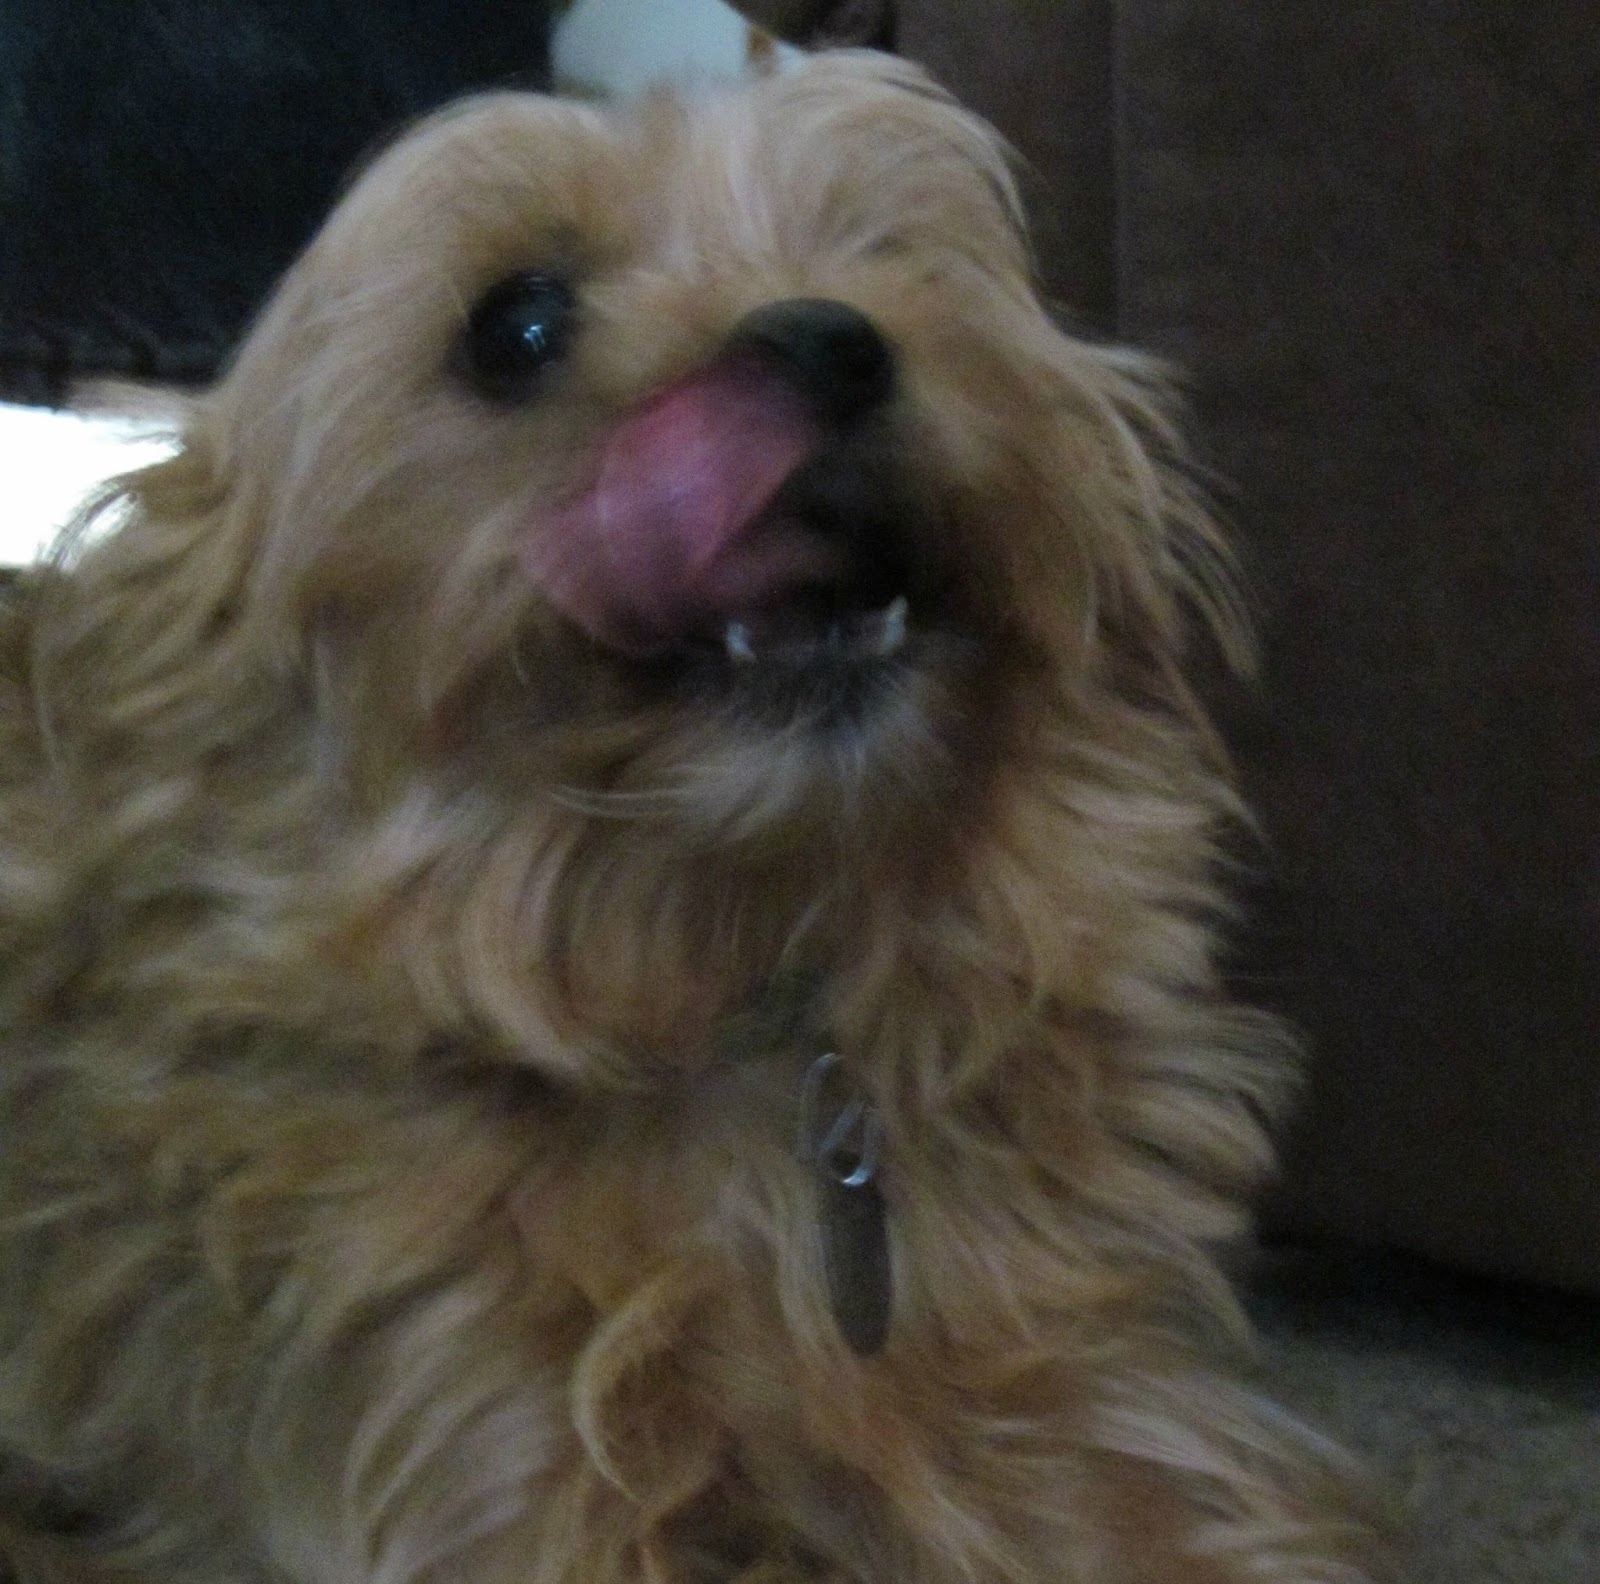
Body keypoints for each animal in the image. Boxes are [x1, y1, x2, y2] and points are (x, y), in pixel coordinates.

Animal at [0, 51, 1391, 1584]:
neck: (738, 977)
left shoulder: (1117, 1425)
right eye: (516, 324)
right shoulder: (484, 1480)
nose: (832, 341)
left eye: (887, 254)